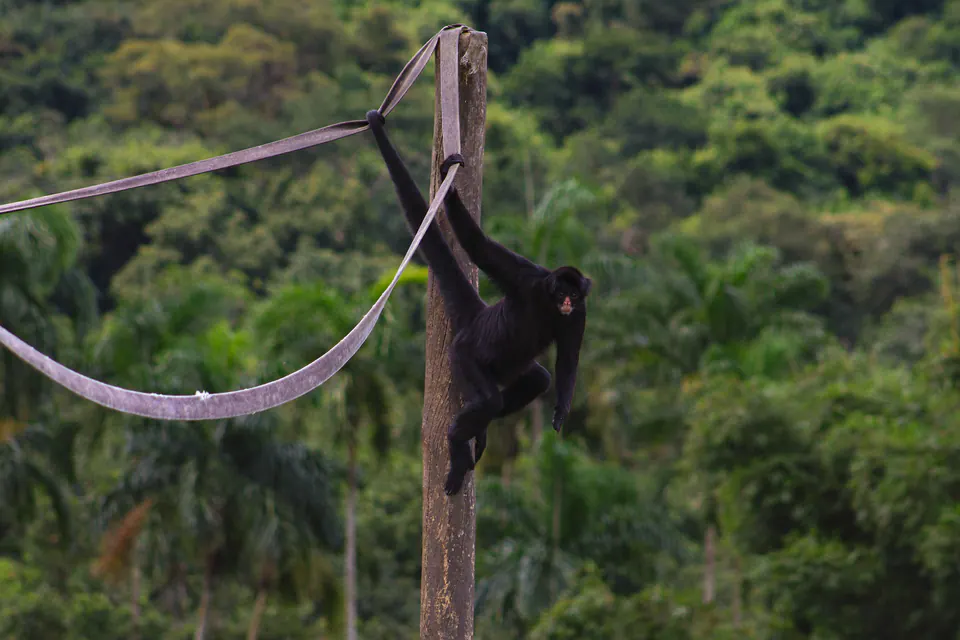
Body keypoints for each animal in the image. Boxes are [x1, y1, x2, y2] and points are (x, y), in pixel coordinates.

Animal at [366, 110, 590, 496]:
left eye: (573, 295)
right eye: (561, 292)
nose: (565, 302)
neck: (548, 307)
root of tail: (477, 318)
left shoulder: (578, 315)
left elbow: (567, 358)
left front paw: (562, 409)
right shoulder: (528, 280)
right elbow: (477, 246)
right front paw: (450, 184)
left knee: (537, 379)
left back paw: (481, 430)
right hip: (465, 353)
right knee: (490, 400)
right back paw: (458, 438)